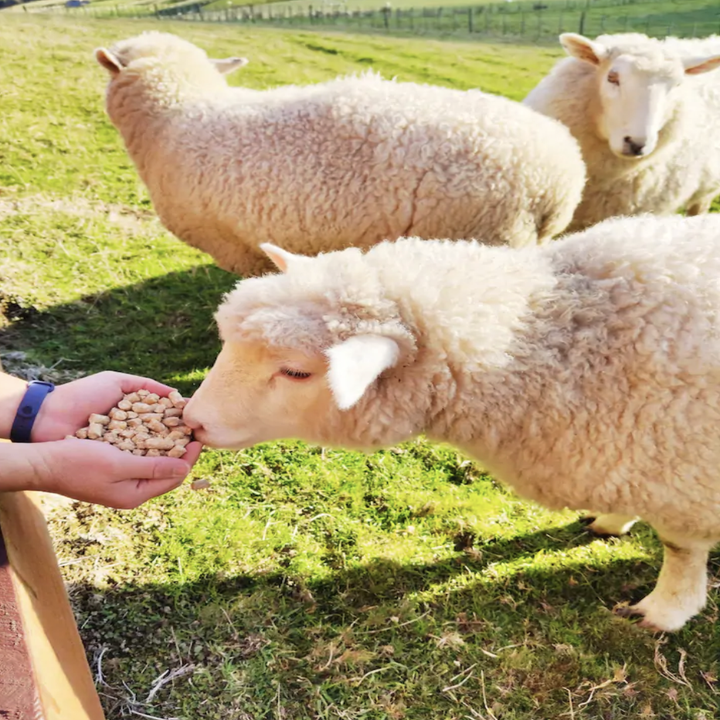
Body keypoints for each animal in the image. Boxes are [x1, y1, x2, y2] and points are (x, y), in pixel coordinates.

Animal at [183, 212, 720, 632]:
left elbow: (680, 550)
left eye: (296, 372)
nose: (193, 421)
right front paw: (612, 519)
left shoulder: (685, 481)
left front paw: (665, 610)